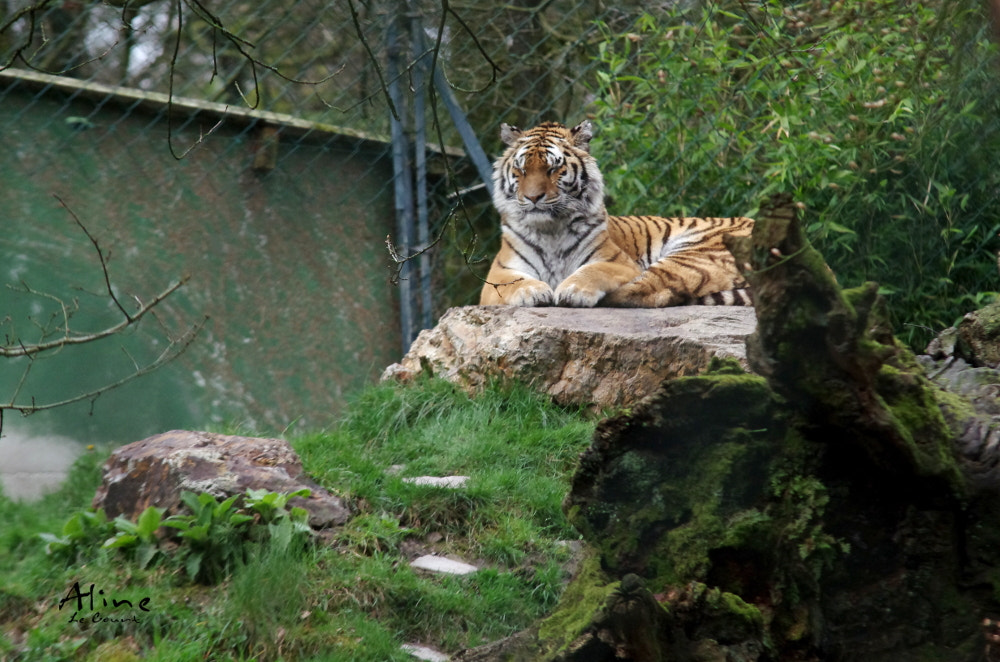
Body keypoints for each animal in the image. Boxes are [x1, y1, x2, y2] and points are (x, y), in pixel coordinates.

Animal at [480, 121, 752, 308]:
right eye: (522, 169)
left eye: (553, 169)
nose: (533, 197)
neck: (550, 230)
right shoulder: (498, 273)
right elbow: (515, 282)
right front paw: (533, 292)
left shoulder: (617, 261)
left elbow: (593, 271)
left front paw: (571, 290)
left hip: (696, 251)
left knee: (651, 289)